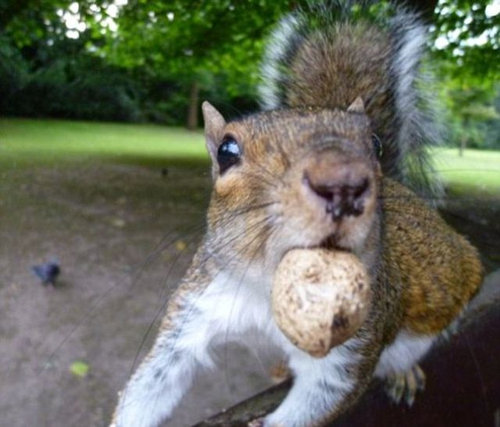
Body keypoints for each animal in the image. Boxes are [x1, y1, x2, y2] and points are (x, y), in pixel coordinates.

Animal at [112, 1, 480, 426]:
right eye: (226, 151)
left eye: (374, 143)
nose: (343, 182)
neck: (269, 289)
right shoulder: (196, 306)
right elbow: (154, 381)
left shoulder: (350, 347)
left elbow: (318, 398)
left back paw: (403, 372)